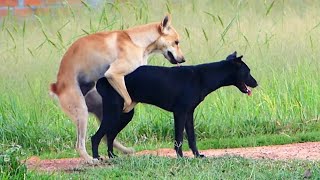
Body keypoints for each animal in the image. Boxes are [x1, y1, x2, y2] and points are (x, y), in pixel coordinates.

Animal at [49, 14, 185, 163]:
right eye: (176, 42)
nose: (183, 59)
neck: (136, 41)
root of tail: (56, 87)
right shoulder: (113, 74)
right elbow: (128, 99)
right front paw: (127, 106)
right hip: (82, 113)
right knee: (81, 144)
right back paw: (91, 160)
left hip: (101, 111)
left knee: (104, 136)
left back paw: (122, 151)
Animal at [90, 51, 258, 159]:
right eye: (247, 71)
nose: (257, 83)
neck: (203, 76)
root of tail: (102, 80)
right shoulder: (180, 112)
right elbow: (179, 138)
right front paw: (181, 157)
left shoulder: (189, 113)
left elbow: (192, 137)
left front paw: (197, 155)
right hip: (113, 113)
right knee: (95, 137)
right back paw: (97, 158)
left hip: (125, 115)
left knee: (110, 135)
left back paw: (112, 156)